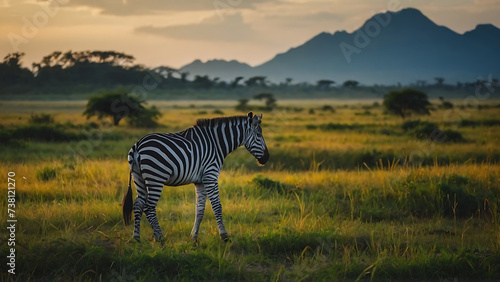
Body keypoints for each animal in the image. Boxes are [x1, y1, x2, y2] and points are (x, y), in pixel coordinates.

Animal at [121, 111, 270, 243]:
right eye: (258, 135)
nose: (267, 158)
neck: (216, 143)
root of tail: (137, 146)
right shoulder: (211, 175)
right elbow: (217, 206)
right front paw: (224, 236)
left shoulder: (200, 181)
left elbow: (200, 209)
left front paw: (194, 237)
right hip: (155, 178)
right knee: (149, 207)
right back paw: (160, 237)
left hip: (139, 178)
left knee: (138, 204)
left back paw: (136, 238)